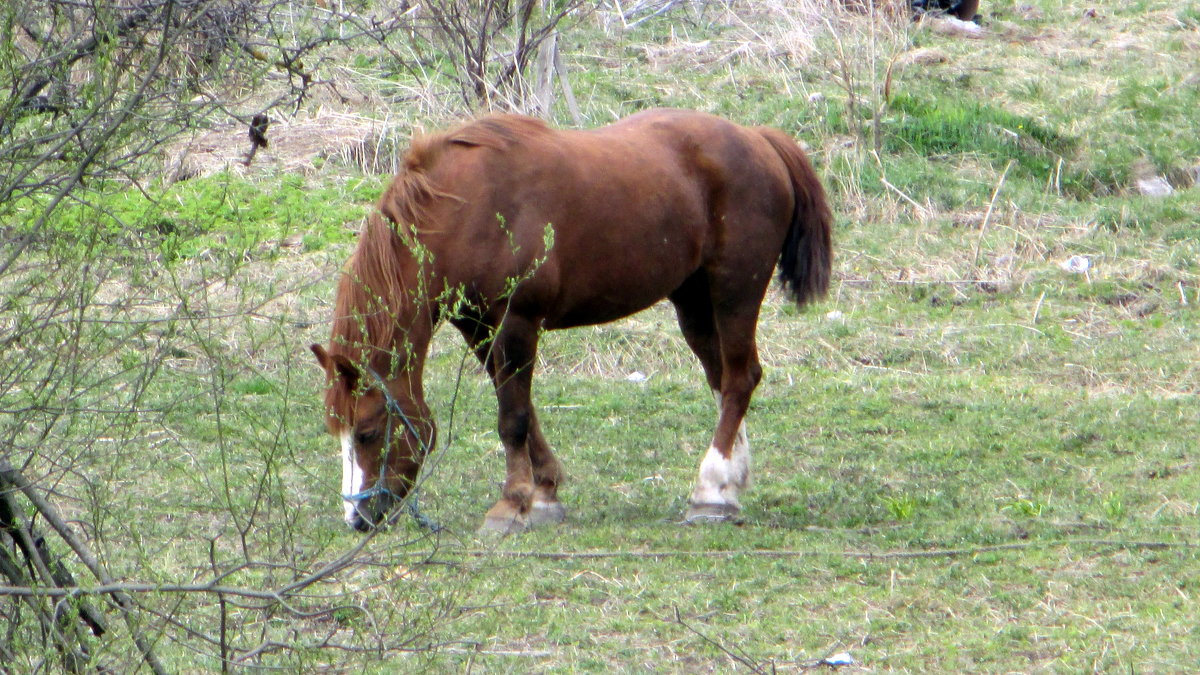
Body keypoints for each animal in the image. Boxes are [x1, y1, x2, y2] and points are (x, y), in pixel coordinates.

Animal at [312, 109, 835, 530]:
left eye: (367, 432)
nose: (357, 518)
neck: (466, 209)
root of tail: (758, 138)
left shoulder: (517, 321)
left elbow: (513, 418)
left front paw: (512, 504)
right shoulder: (479, 328)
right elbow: (520, 406)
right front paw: (544, 492)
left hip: (735, 292)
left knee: (741, 378)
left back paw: (710, 487)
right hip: (693, 303)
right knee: (723, 379)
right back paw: (728, 484)